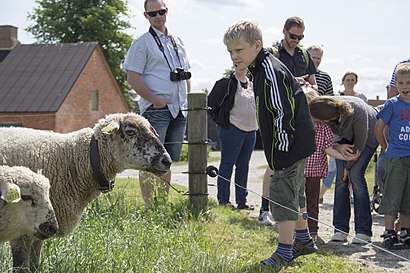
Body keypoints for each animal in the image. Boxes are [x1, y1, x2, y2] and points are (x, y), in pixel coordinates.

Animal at [0, 111, 171, 270]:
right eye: (130, 132)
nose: (167, 161)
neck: (73, 159)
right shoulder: (24, 224)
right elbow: (22, 264)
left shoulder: (39, 225)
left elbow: (35, 262)